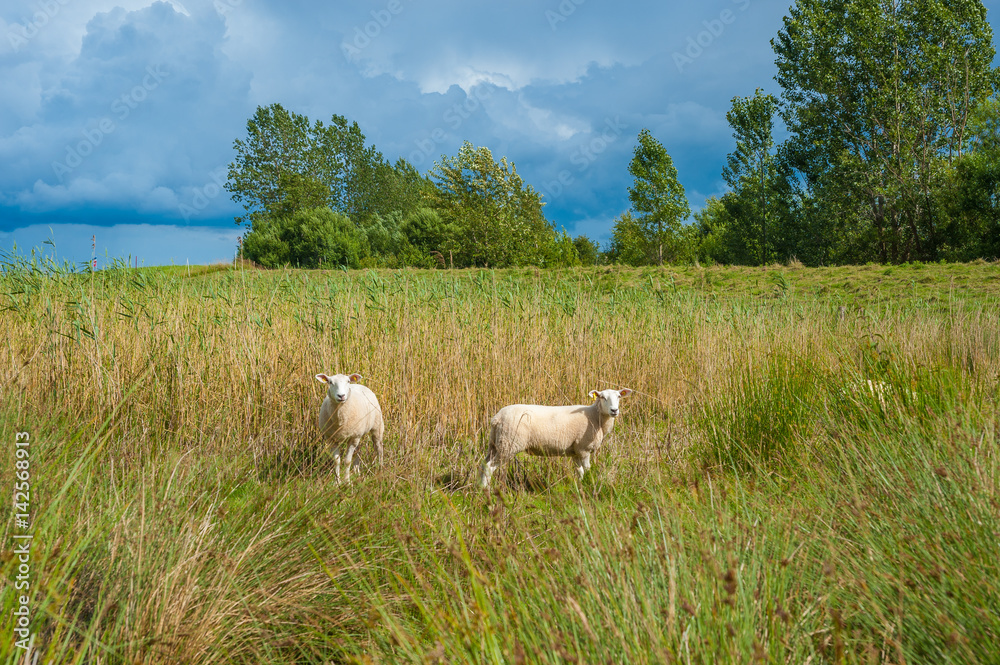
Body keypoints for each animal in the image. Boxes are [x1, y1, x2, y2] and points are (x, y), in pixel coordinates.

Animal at [479, 388, 633, 489]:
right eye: (602, 397)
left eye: (619, 397)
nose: (614, 410)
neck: (596, 417)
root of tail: (497, 418)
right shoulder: (584, 449)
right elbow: (587, 469)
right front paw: (589, 484)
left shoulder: (576, 451)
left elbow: (579, 471)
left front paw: (580, 486)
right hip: (508, 444)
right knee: (490, 467)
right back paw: (486, 490)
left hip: (495, 443)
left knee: (484, 464)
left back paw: (479, 487)